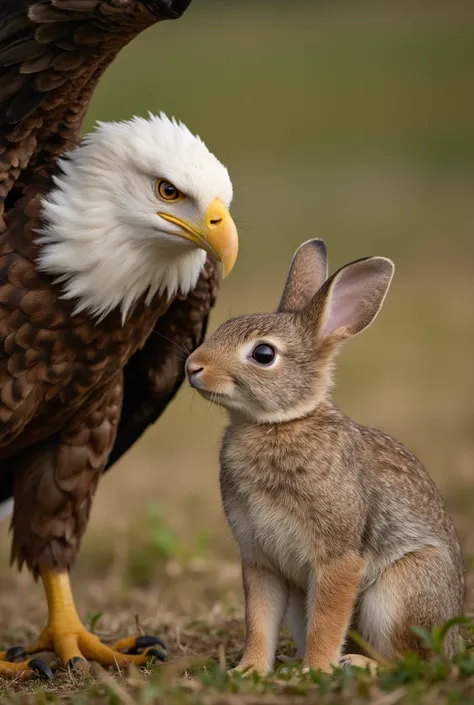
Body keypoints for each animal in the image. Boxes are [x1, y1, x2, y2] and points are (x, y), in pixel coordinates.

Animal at [186, 239, 466, 672]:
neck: (280, 423)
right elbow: (259, 621)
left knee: (409, 658)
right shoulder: (260, 560)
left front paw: (316, 669)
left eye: (263, 354)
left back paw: (357, 664)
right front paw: (250, 670)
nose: (192, 367)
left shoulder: (338, 557)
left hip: (402, 590)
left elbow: (328, 619)